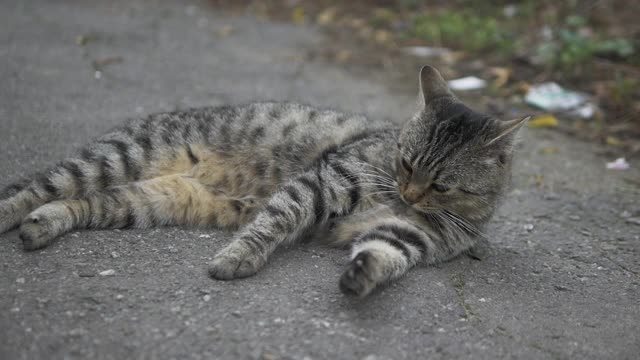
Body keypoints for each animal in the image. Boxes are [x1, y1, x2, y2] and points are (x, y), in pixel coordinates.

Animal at [0, 66, 528, 296]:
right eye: (404, 161)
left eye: (440, 185)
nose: (406, 192)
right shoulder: (325, 182)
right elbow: (276, 219)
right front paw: (237, 257)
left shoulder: (408, 235)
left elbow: (383, 253)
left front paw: (362, 275)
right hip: (116, 158)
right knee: (37, 186)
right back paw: (12, 212)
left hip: (148, 201)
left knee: (84, 202)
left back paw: (42, 225)